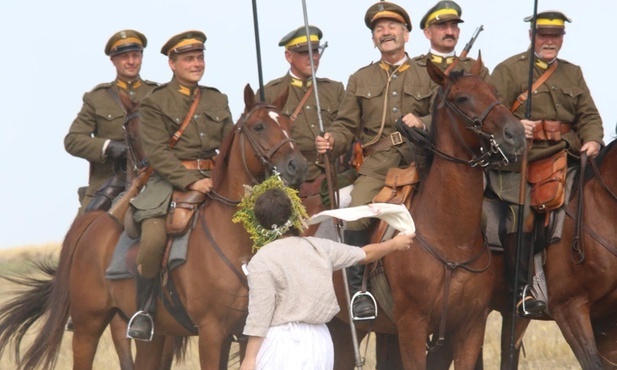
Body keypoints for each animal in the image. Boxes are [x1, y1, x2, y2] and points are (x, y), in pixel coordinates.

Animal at [0, 84, 306, 370]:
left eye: (289, 124)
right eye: (259, 126)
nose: (298, 166)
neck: (234, 239)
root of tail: (95, 221)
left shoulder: (245, 333)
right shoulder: (211, 332)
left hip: (154, 336)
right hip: (89, 325)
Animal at [330, 56, 528, 368]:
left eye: (495, 92)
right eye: (462, 98)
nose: (516, 134)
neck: (450, 238)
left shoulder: (471, 328)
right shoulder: (412, 325)